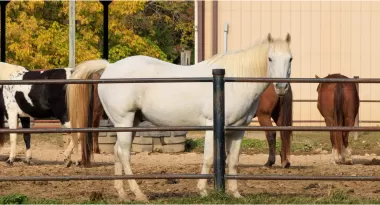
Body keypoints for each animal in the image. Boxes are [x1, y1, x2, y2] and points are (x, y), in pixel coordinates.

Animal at [67, 33, 294, 202]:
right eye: (270, 58)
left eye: (290, 58)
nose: (281, 87)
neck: (231, 81)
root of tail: (109, 67)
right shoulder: (212, 126)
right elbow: (209, 157)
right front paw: (203, 190)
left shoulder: (238, 130)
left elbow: (233, 161)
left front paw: (235, 193)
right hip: (124, 121)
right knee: (124, 154)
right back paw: (139, 194)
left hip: (131, 122)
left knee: (116, 152)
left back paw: (122, 194)